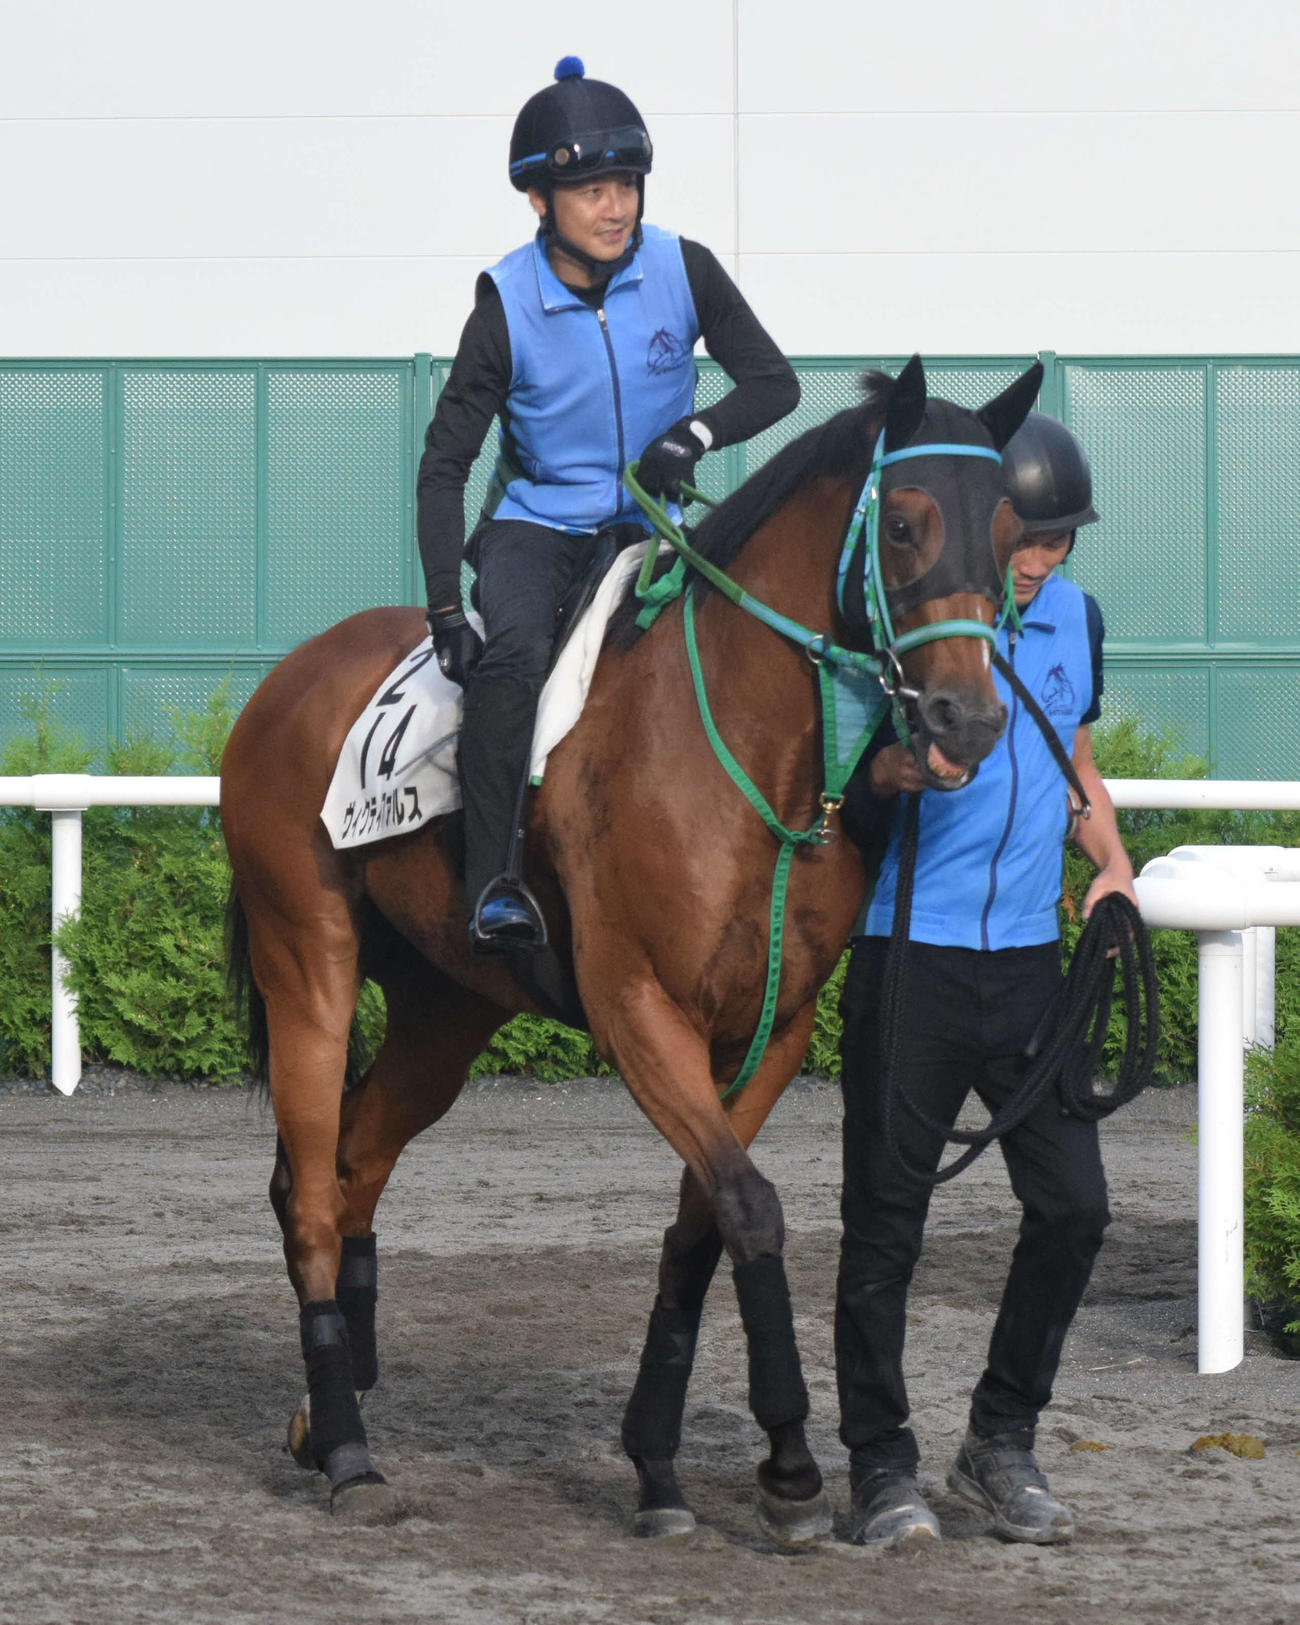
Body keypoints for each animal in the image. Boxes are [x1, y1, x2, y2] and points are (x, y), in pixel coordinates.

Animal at [221, 354, 1042, 1536]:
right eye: (905, 524)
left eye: (1014, 528)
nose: (966, 718)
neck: (745, 747)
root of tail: (289, 676)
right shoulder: (640, 1009)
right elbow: (751, 1203)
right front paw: (788, 1461)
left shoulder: (770, 1030)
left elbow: (708, 1222)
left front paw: (677, 1463)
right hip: (309, 970)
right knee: (315, 1192)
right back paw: (345, 1446)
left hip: (447, 1005)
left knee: (355, 1157)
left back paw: (328, 1408)